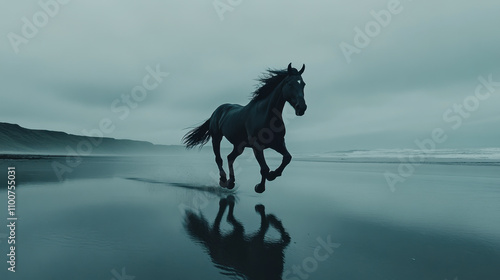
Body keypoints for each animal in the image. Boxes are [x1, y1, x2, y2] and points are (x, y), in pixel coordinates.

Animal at [183, 62, 306, 192]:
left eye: (303, 84)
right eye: (290, 84)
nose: (302, 107)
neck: (266, 115)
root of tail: (217, 110)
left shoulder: (278, 143)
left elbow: (287, 157)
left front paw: (273, 175)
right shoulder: (257, 146)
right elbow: (264, 168)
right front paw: (260, 187)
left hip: (239, 146)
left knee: (230, 157)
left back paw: (231, 182)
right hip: (217, 137)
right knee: (219, 158)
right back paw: (223, 181)